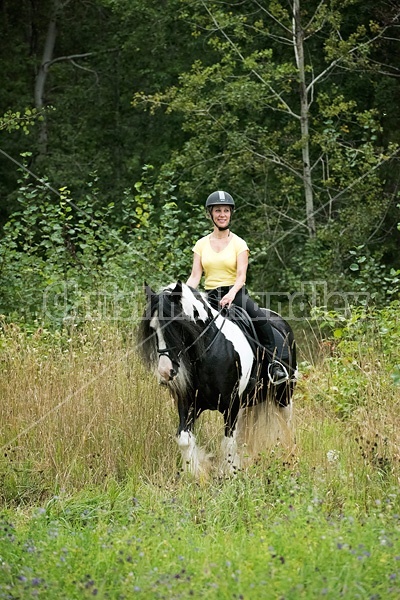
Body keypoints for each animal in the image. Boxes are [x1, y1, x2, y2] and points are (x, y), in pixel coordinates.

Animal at [138, 282, 296, 478]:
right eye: (153, 329)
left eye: (175, 326)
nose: (165, 371)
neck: (207, 352)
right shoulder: (187, 403)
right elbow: (184, 439)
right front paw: (194, 475)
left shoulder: (231, 406)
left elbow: (228, 443)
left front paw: (229, 475)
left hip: (284, 395)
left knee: (286, 425)